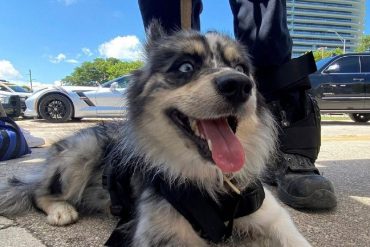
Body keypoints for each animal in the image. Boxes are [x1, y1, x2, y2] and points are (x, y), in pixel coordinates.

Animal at [0, 22, 310, 246]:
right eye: (186, 67)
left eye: (240, 68)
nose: (239, 85)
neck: (214, 181)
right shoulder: (159, 233)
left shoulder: (271, 216)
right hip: (82, 149)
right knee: (37, 193)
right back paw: (61, 209)